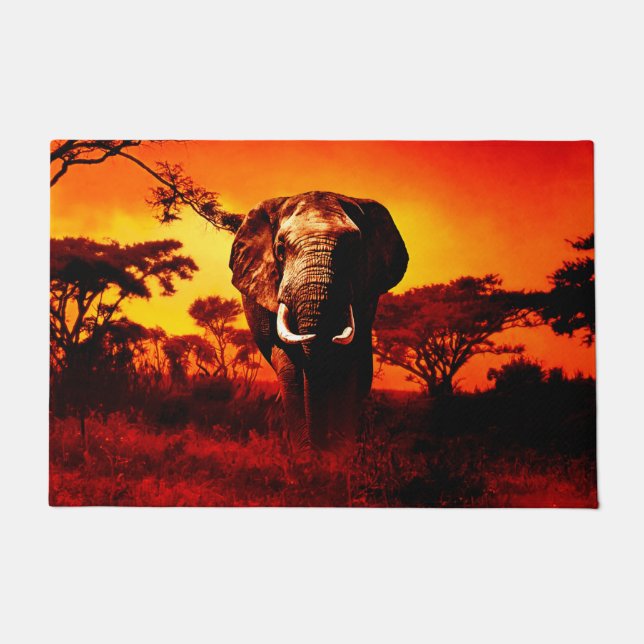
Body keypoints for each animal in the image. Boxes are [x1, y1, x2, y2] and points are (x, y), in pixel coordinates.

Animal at [229, 191, 408, 452]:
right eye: (280, 250)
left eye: (354, 251)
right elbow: (290, 367)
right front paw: (307, 457)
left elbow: (348, 363)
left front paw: (337, 456)